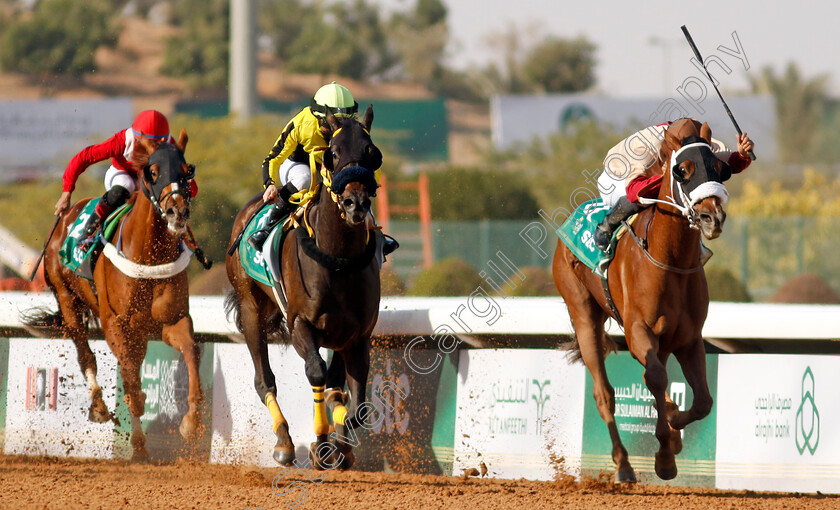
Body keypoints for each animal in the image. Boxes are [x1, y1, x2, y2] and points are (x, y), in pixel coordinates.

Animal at [24, 132, 202, 462]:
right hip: (68, 300)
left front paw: (191, 421)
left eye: (187, 171)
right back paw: (99, 407)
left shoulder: (173, 320)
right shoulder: (116, 325)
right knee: (85, 354)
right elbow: (130, 381)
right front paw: (138, 440)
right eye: (153, 172)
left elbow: (191, 352)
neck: (148, 257)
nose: (177, 212)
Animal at [223, 106, 380, 470]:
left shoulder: (357, 336)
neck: (337, 259)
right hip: (251, 308)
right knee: (264, 380)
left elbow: (356, 406)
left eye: (371, 152)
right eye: (332, 153)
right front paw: (321, 442)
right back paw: (284, 443)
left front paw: (341, 442)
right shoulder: (300, 326)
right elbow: (316, 373)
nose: (355, 203)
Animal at [556, 118, 724, 482]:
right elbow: (657, 379)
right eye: (683, 170)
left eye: (721, 169)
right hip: (583, 314)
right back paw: (623, 465)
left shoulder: (689, 337)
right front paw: (665, 453)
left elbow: (702, 400)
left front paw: (673, 428)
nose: (712, 218)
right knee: (604, 393)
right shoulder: (639, 330)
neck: (669, 259)